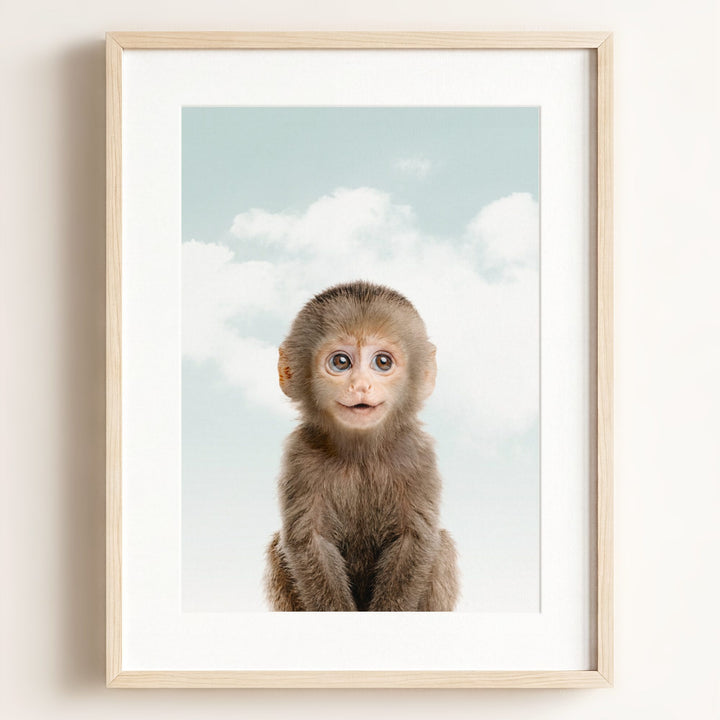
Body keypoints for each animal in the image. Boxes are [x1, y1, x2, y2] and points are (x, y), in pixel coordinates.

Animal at [265, 281, 458, 611]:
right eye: (341, 362)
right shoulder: (300, 455)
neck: (361, 454)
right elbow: (309, 541)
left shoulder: (417, 454)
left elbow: (415, 539)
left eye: (382, 362)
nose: (360, 386)